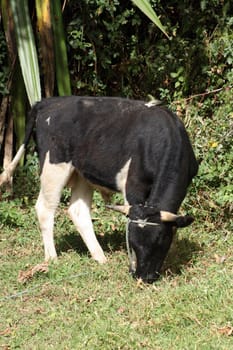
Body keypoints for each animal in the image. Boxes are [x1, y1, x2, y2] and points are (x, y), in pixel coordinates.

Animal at [21, 97, 198, 284]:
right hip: (54, 168)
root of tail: (49, 102)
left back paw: (100, 258)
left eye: (160, 240)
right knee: (45, 209)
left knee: (78, 211)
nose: (142, 277)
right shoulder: (133, 187)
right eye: (133, 242)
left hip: (83, 173)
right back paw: (52, 258)